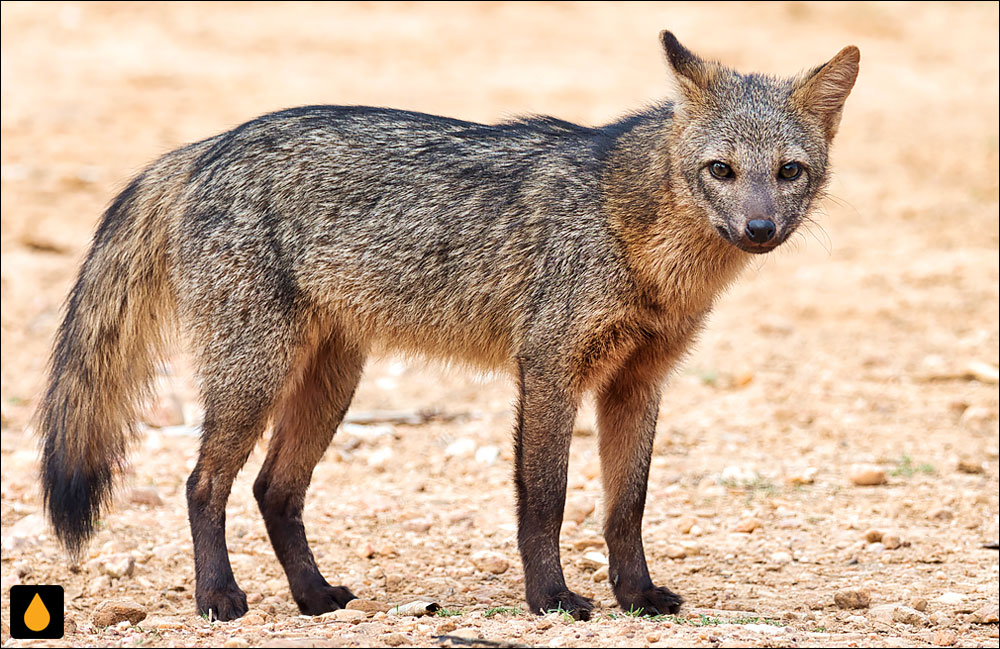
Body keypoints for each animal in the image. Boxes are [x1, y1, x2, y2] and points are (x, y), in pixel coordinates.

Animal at [33, 33, 860, 620]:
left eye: (788, 171)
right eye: (720, 169)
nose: (760, 229)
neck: (634, 235)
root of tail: (209, 145)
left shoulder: (638, 382)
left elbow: (627, 505)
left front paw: (637, 595)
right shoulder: (549, 368)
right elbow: (546, 498)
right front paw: (552, 599)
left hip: (330, 382)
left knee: (274, 489)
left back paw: (314, 595)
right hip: (255, 374)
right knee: (204, 483)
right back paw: (218, 598)